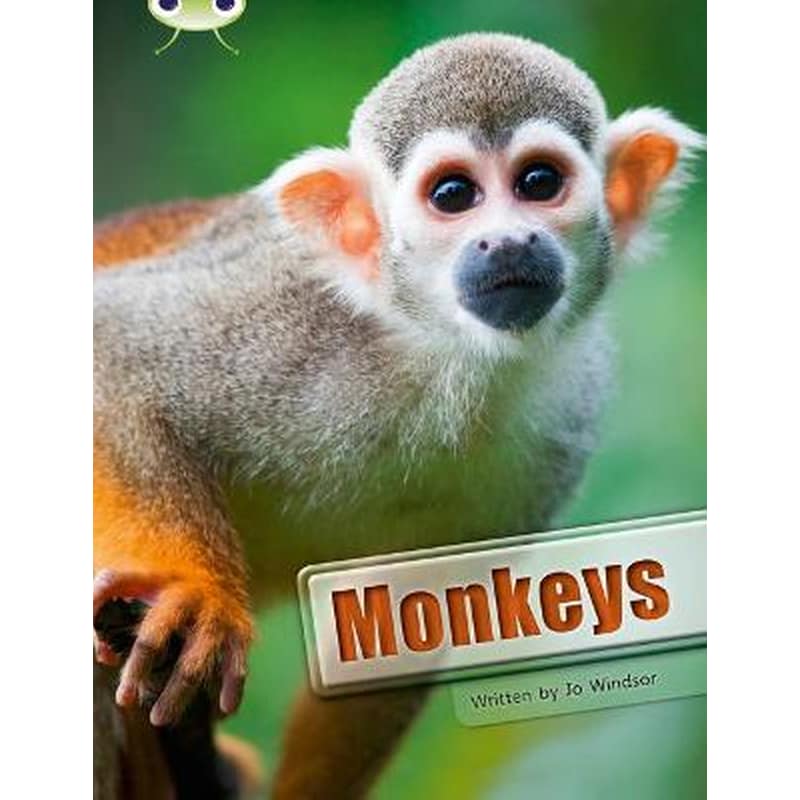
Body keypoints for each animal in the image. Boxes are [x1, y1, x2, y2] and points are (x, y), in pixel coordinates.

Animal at [93, 32, 703, 799]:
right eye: (454, 195)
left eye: (539, 182)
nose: (508, 243)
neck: (445, 356)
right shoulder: (282, 316)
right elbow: (113, 345)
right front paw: (197, 597)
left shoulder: (568, 415)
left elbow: (406, 621)